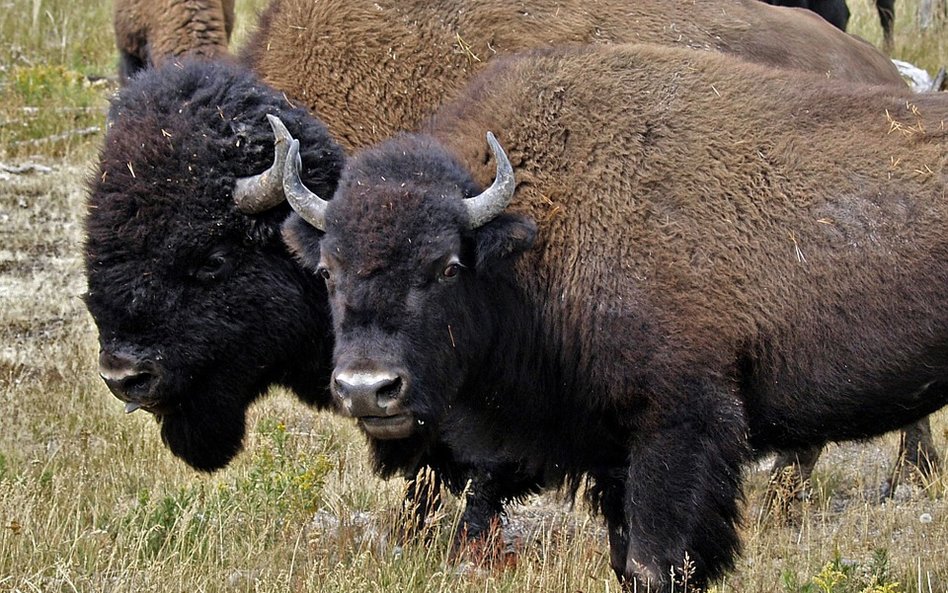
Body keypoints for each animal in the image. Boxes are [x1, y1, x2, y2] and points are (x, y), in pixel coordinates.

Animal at [282, 40, 948, 588]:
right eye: (328, 270)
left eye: (447, 267)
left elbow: (655, 563)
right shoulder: (611, 453)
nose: (368, 389)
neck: (533, 238)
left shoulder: (679, 426)